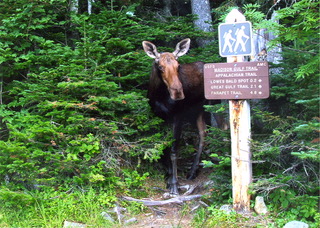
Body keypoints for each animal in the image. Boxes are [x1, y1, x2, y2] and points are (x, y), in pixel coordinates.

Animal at [142, 38, 220, 194]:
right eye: (160, 67)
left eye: (178, 66)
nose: (178, 92)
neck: (159, 96)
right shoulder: (158, 117)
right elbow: (163, 148)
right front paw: (167, 175)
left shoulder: (177, 117)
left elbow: (173, 150)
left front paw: (174, 183)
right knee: (203, 132)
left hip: (206, 107)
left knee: (204, 134)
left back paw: (193, 171)